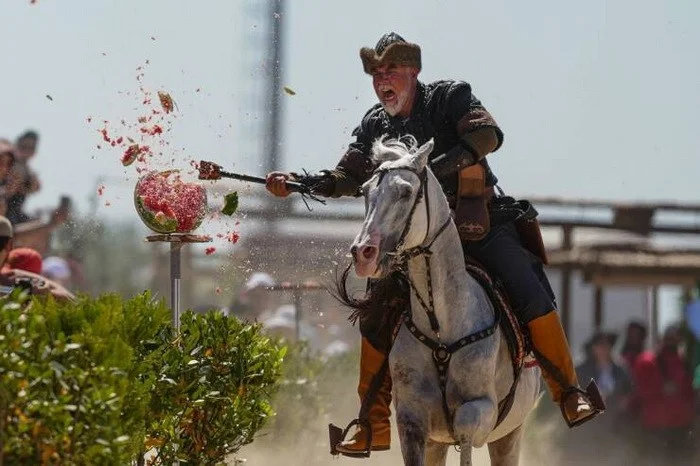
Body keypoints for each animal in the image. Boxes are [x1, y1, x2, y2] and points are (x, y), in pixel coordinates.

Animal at [346, 136, 541, 466]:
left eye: (405, 191)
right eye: (365, 191)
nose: (363, 253)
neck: (442, 324)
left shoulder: (480, 410)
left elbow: (465, 421)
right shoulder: (412, 420)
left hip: (510, 435)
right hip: (440, 444)